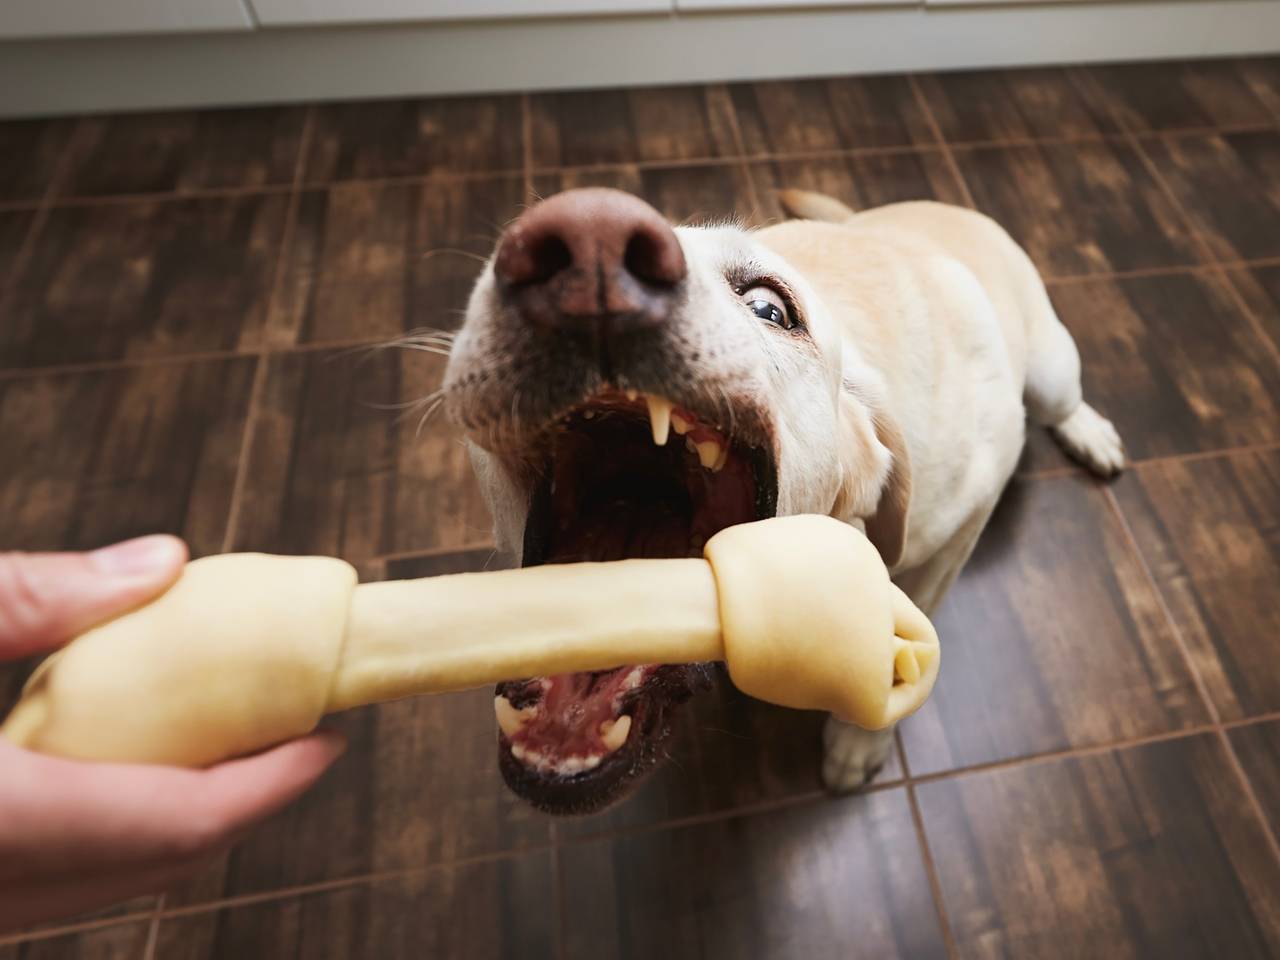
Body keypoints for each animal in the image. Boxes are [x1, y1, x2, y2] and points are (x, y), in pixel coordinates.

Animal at [441, 187, 1124, 814]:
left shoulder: (957, 530)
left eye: (770, 308)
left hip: (1051, 376)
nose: (591, 235)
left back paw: (1091, 432)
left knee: (1065, 401)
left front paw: (859, 740)